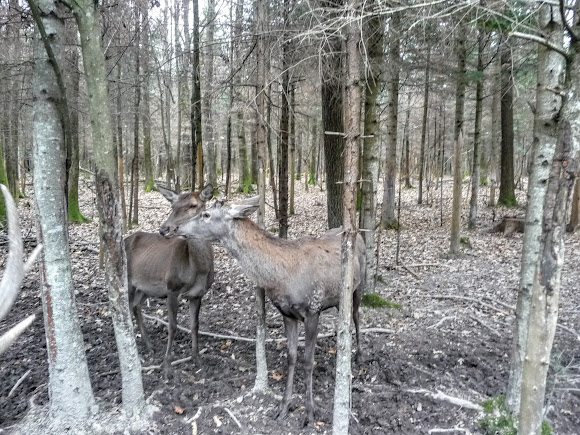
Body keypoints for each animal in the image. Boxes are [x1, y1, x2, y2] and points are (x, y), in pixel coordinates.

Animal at [124, 184, 213, 374]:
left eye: (193, 205)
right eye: (173, 206)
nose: (164, 229)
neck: (198, 269)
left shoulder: (198, 294)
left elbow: (195, 324)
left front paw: (196, 358)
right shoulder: (172, 287)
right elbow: (172, 325)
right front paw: (167, 365)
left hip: (146, 287)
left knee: (135, 305)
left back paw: (149, 344)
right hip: (127, 280)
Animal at [168, 198, 364, 430]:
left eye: (206, 214)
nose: (173, 228)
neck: (281, 275)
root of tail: (359, 234)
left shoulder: (312, 309)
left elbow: (308, 361)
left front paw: (309, 414)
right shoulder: (287, 313)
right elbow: (291, 357)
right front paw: (283, 407)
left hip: (358, 287)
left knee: (356, 316)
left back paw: (359, 355)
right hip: (338, 298)